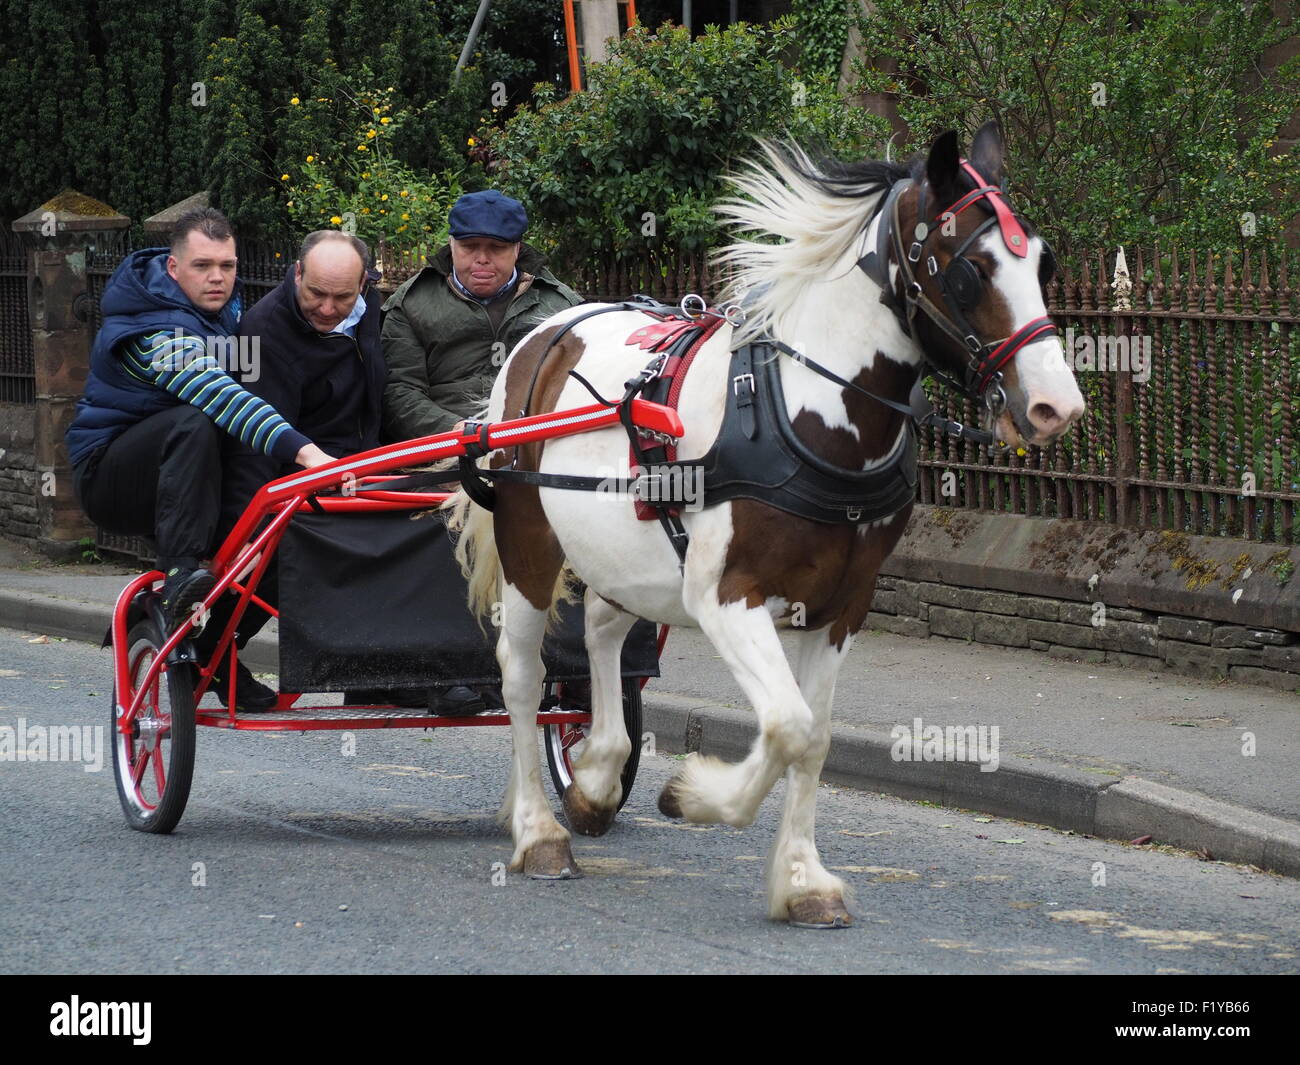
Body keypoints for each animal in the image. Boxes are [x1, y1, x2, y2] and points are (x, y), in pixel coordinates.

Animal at [447, 121, 1085, 927]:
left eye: (1043, 262)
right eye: (972, 268)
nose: (1057, 406)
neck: (809, 410)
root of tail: (545, 335)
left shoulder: (843, 605)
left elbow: (814, 738)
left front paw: (803, 878)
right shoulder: (725, 595)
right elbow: (787, 723)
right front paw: (696, 794)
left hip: (625, 553)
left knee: (600, 630)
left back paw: (594, 775)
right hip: (531, 541)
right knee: (524, 676)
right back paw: (538, 830)